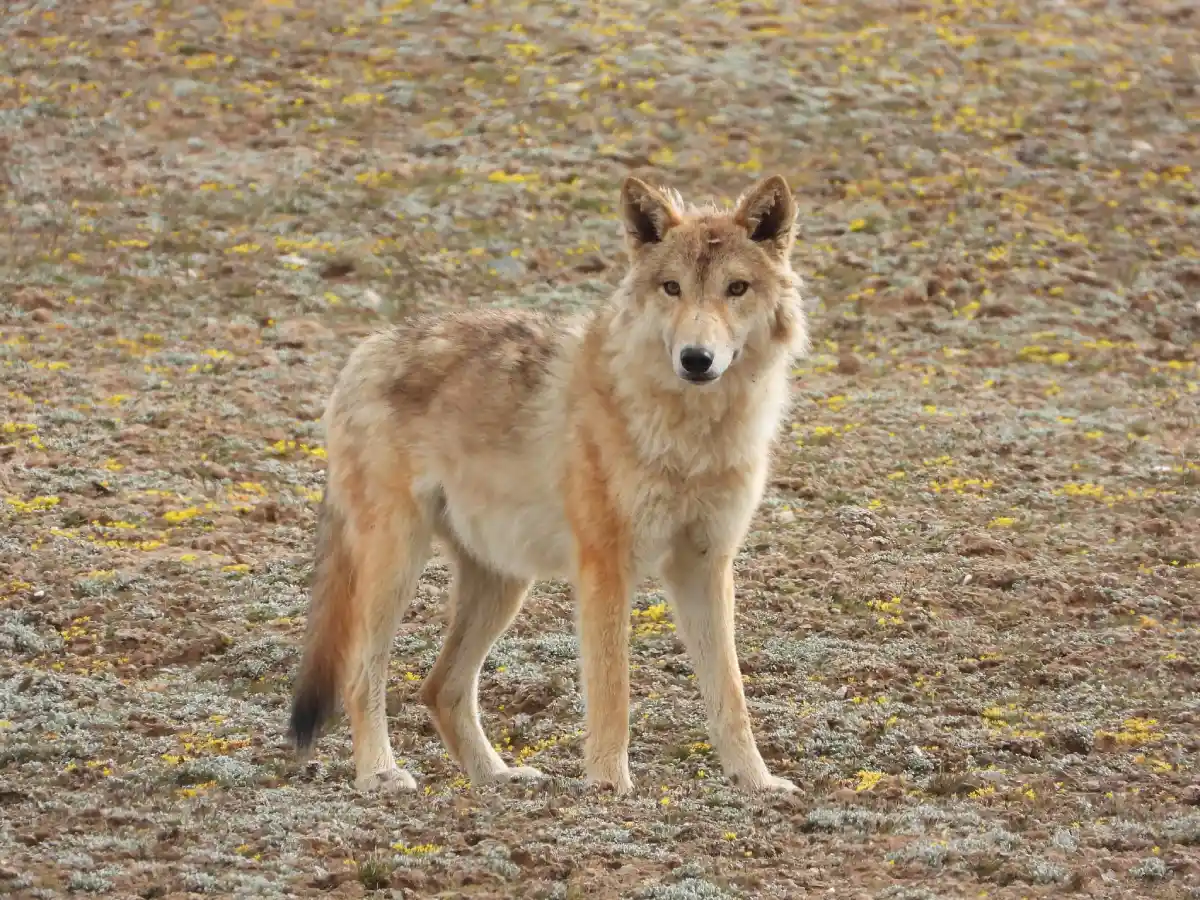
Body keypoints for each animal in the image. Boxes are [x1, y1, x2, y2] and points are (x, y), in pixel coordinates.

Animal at [286, 174, 811, 796]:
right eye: (672, 288)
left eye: (736, 288)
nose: (696, 359)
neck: (691, 436)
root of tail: (364, 351)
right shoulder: (605, 565)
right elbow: (612, 692)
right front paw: (609, 787)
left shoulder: (705, 564)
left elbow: (730, 695)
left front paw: (758, 784)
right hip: (397, 567)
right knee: (362, 676)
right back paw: (381, 774)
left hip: (503, 583)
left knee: (440, 688)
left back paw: (497, 777)